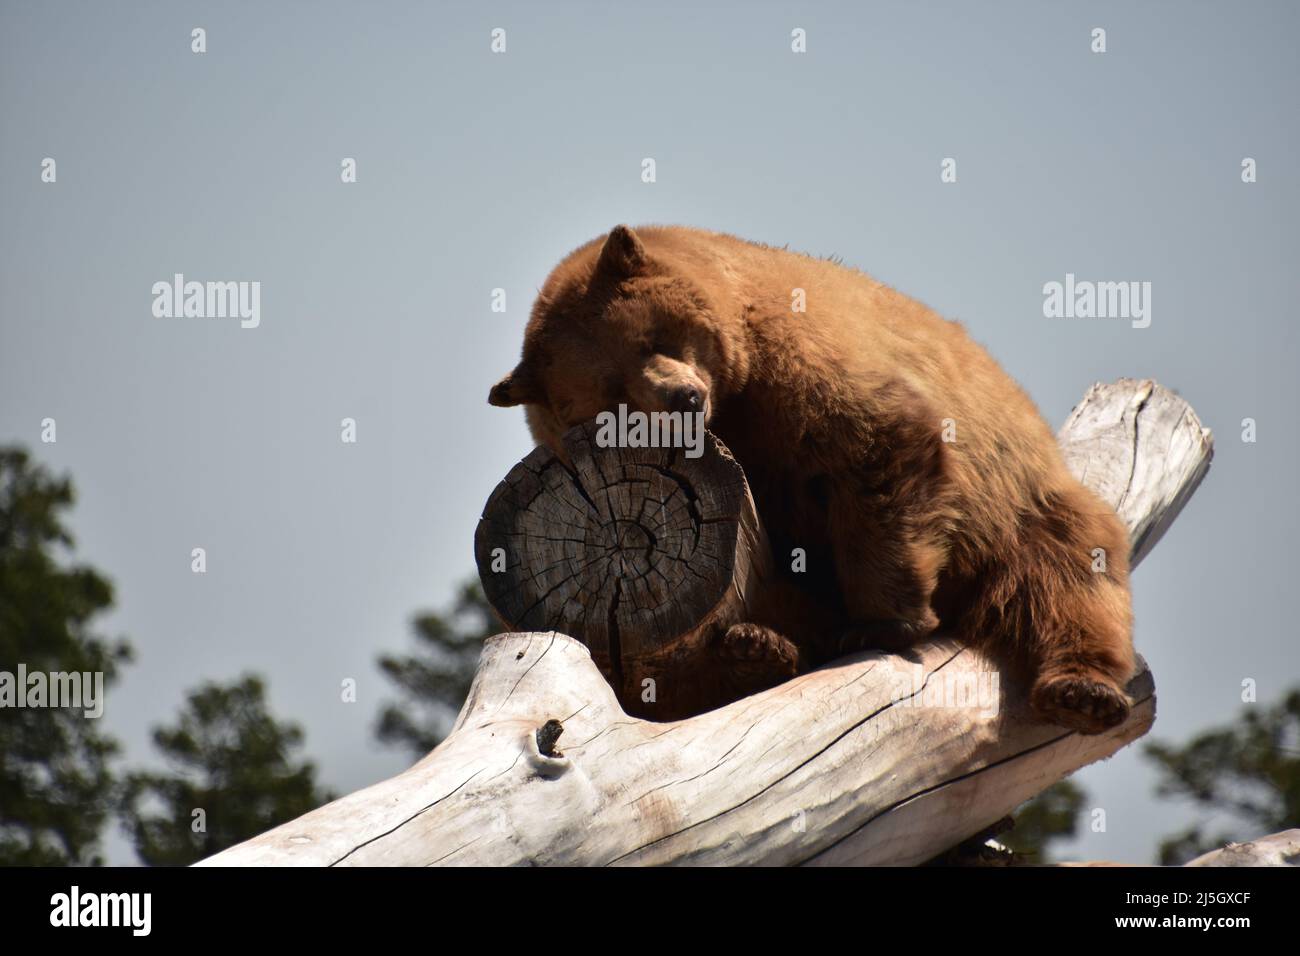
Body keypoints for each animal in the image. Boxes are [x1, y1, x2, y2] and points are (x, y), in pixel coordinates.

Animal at [489, 224, 1136, 734]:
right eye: (612, 391)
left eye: (654, 338)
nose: (684, 398)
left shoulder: (793, 362)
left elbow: (879, 443)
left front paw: (884, 620)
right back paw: (755, 650)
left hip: (1018, 501)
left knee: (1067, 574)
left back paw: (1083, 690)